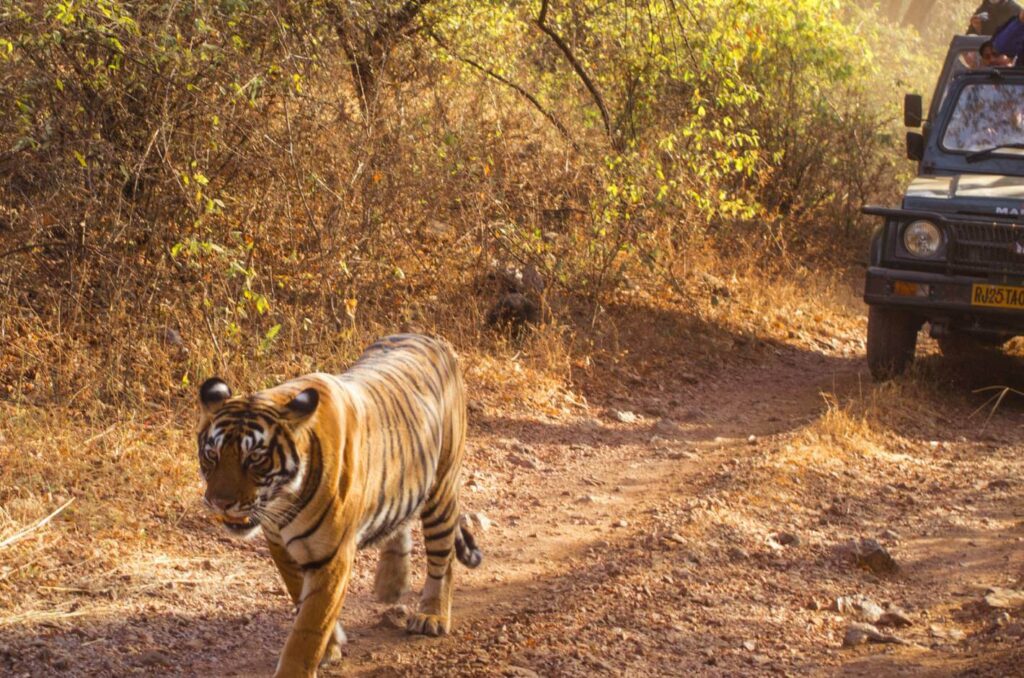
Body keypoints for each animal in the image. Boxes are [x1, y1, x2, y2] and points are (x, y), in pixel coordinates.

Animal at [195, 335, 483, 678]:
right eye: (212, 455)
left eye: (255, 458)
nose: (220, 503)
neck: (282, 503)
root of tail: (430, 337)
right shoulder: (280, 546)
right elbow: (299, 596)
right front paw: (331, 646)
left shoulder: (331, 556)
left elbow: (310, 625)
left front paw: (302, 664)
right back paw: (390, 584)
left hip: (442, 487)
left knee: (443, 556)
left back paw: (432, 615)